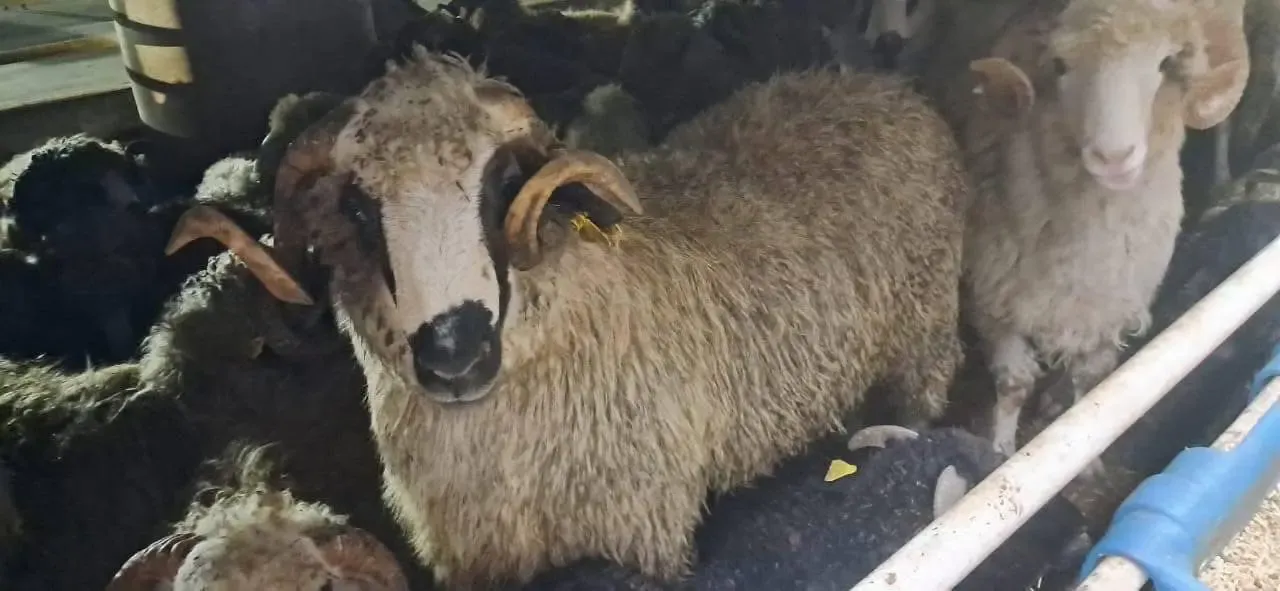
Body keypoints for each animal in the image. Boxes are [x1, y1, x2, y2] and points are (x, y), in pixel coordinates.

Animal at [167, 48, 969, 588]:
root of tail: (877, 83)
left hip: (923, 336)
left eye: (500, 183)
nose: (455, 354)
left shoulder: (645, 527)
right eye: (359, 210)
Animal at [955, 0, 1251, 455]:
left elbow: (1090, 393)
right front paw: (1000, 448)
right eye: (1059, 65)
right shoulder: (993, 303)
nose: (1113, 157)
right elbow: (1014, 384)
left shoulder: (1108, 313)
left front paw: (1088, 457)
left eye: (1166, 62)